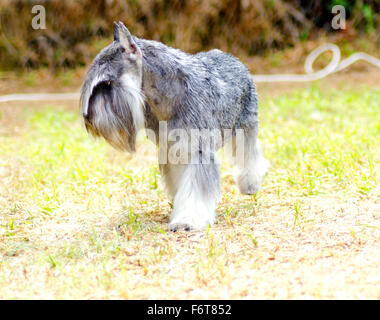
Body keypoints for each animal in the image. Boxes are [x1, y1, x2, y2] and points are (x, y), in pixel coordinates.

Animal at [81, 21, 268, 231]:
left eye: (107, 83)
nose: (87, 117)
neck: (167, 96)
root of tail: (234, 59)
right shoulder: (173, 150)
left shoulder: (198, 150)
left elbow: (195, 189)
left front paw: (187, 219)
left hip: (246, 127)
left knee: (250, 154)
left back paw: (250, 184)